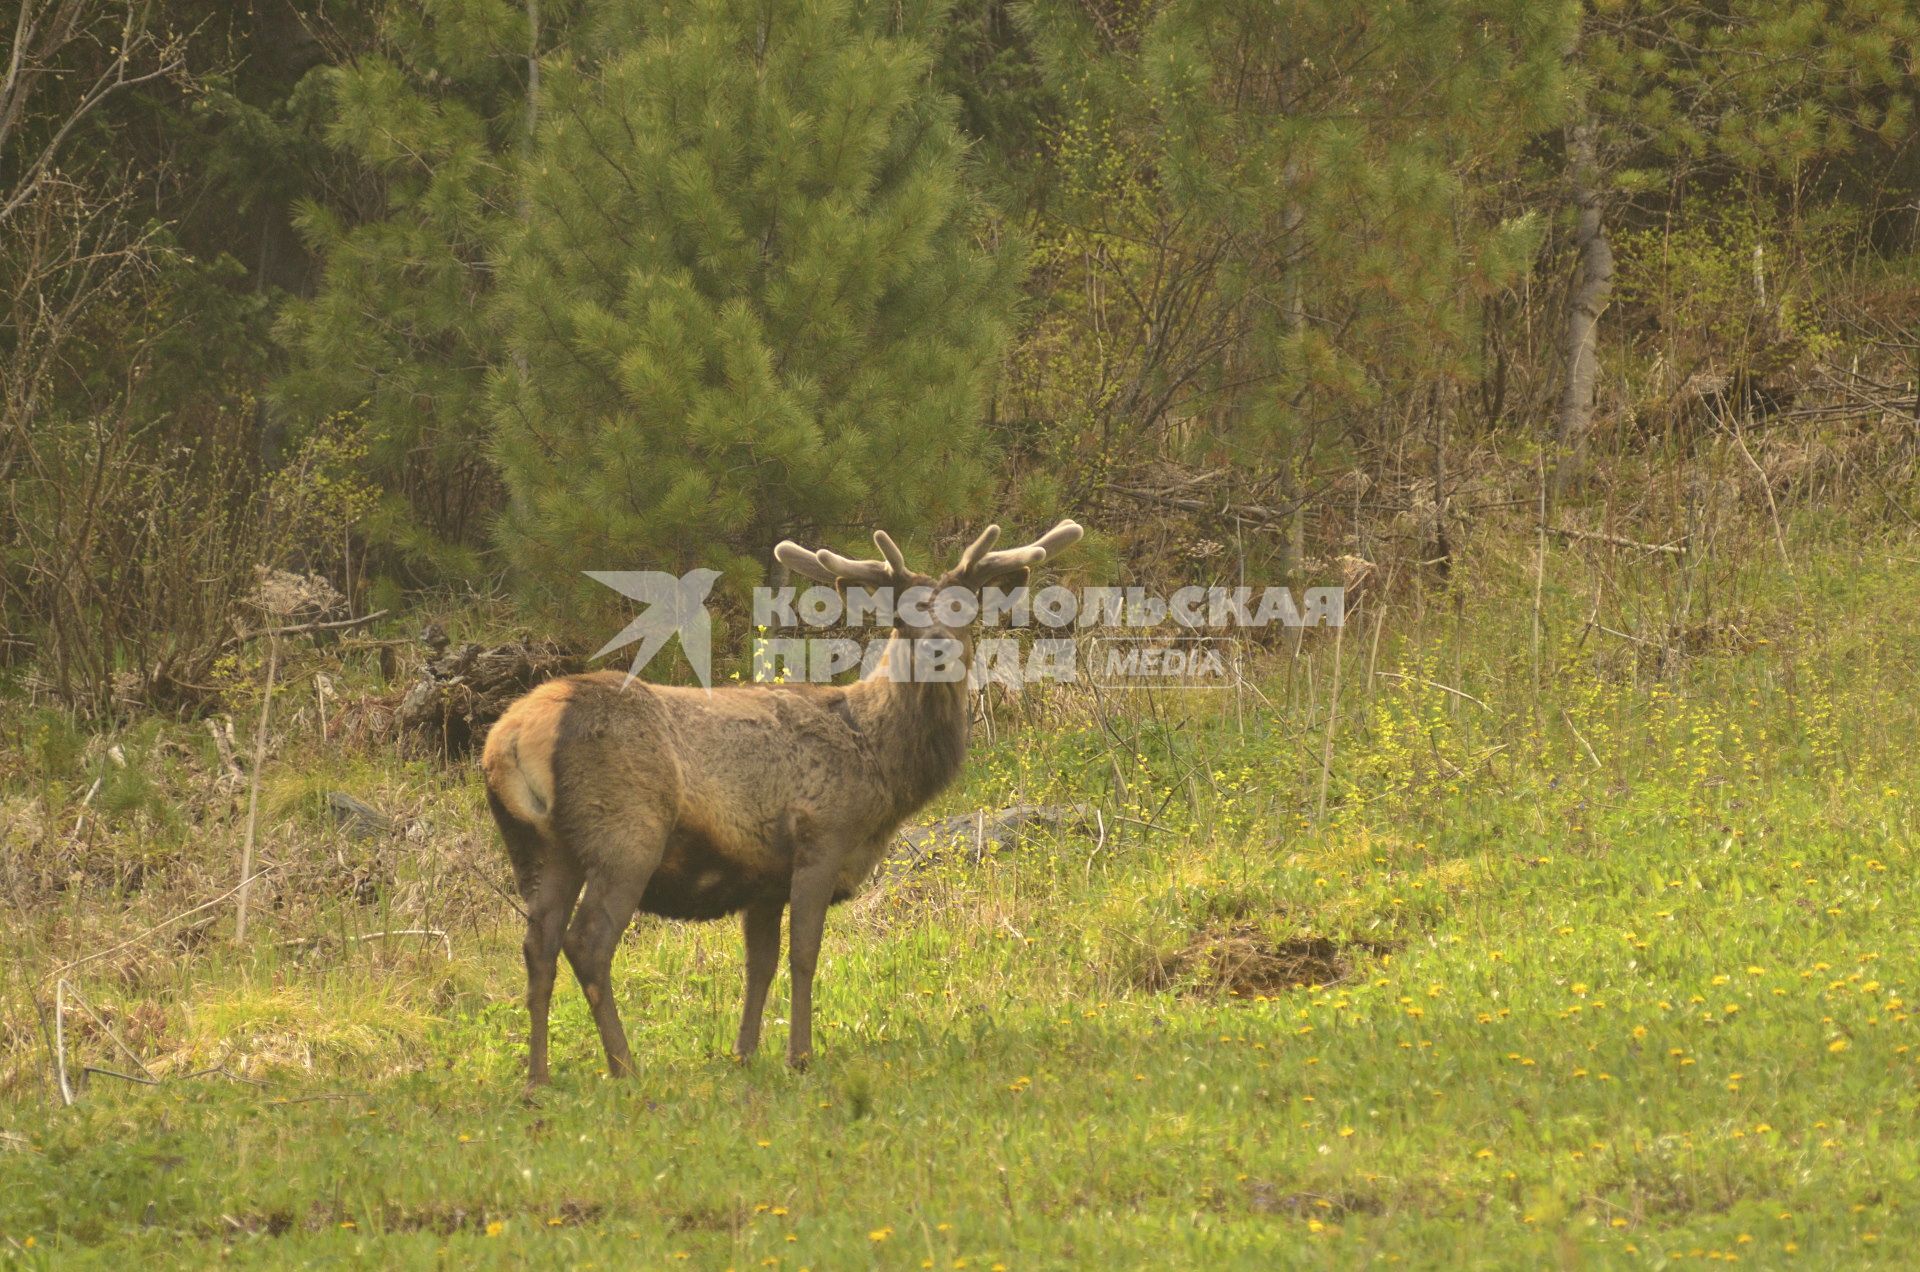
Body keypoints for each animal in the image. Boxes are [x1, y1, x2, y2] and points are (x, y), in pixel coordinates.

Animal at [480, 518, 1082, 1083]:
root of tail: (509, 737)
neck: (879, 766)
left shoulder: (763, 876)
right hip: (625, 834)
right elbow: (804, 955)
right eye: (899, 618)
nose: (936, 646)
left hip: (538, 846)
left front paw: (744, 1053)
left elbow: (760, 964)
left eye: (967, 612)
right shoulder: (820, 838)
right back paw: (625, 1067)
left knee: (538, 945)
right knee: (588, 943)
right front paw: (799, 1056)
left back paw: (537, 1079)